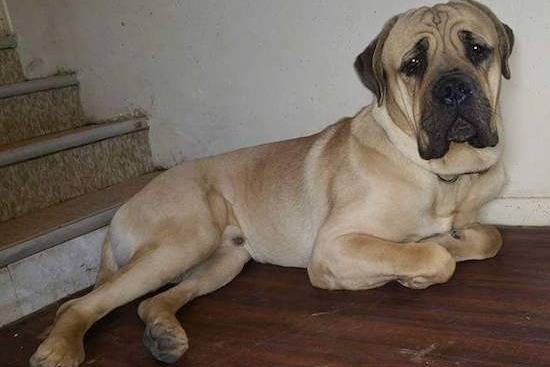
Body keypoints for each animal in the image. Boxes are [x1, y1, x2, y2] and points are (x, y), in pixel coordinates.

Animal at [31, 1, 512, 366]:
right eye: (413, 64)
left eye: (477, 49)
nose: (453, 89)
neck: (443, 174)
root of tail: (124, 207)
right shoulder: (334, 245)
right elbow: (434, 256)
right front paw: (420, 263)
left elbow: (490, 237)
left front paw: (450, 240)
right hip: (182, 240)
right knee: (77, 304)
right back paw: (59, 350)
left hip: (223, 260)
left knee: (152, 301)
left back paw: (164, 334)